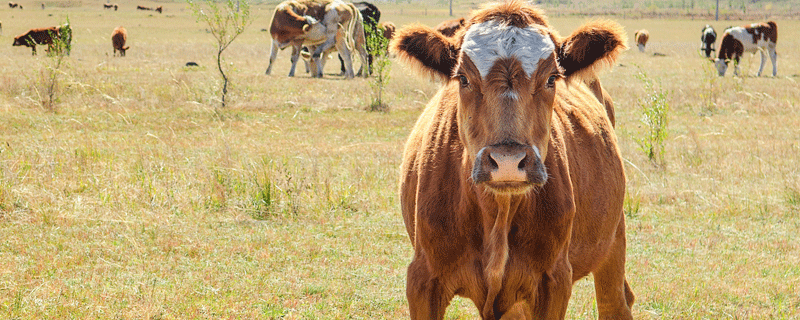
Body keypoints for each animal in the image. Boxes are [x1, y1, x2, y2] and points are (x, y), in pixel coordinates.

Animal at [390, 1, 636, 318]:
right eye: (463, 78)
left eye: (552, 78)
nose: (508, 161)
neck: (497, 212)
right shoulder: (422, 279)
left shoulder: (554, 280)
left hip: (613, 239)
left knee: (615, 300)